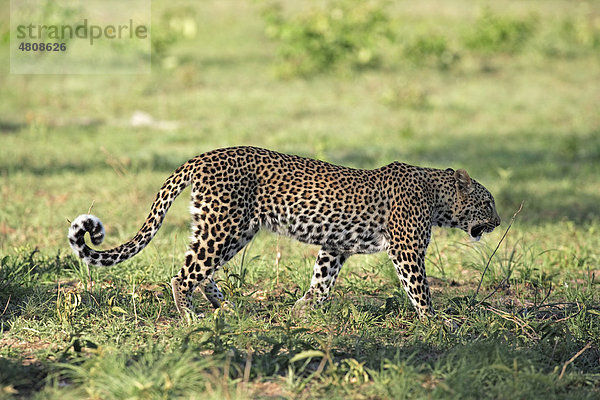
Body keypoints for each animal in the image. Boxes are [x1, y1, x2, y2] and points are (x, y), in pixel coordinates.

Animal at [68, 145, 502, 318]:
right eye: (488, 202)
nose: (498, 223)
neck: (437, 197)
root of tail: (202, 157)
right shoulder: (407, 250)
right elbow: (420, 290)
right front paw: (438, 322)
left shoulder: (334, 247)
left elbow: (321, 282)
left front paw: (301, 310)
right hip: (223, 226)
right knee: (183, 274)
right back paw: (190, 316)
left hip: (233, 229)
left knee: (201, 271)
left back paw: (226, 307)